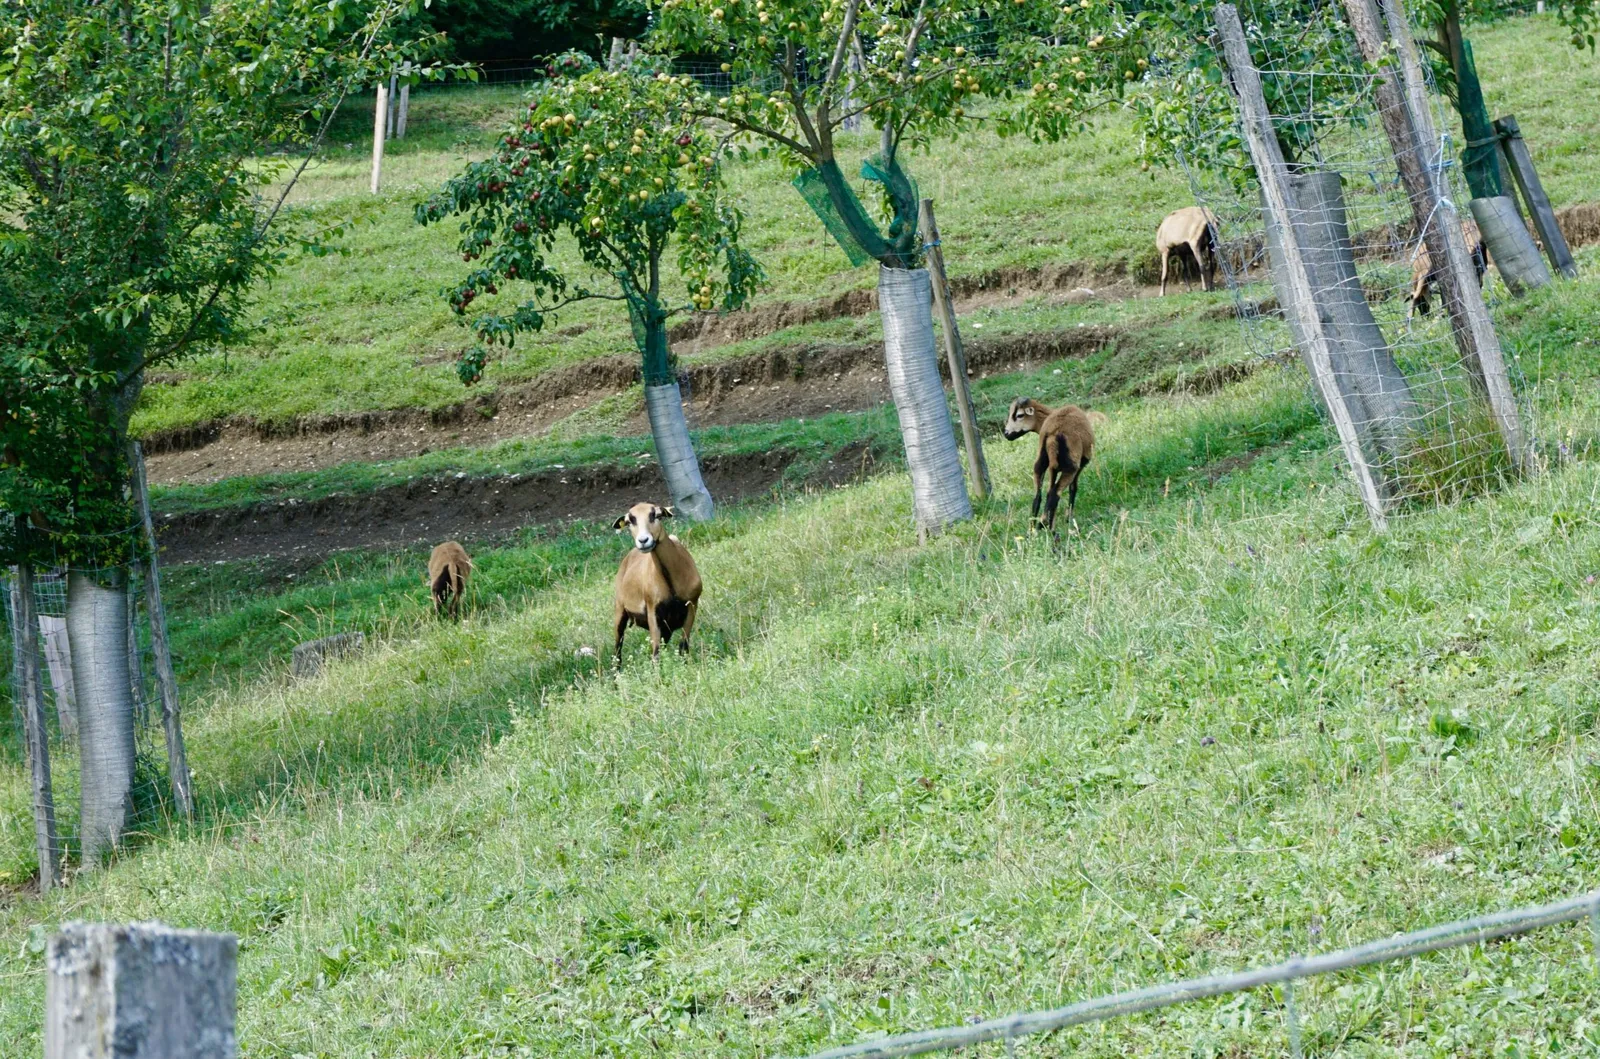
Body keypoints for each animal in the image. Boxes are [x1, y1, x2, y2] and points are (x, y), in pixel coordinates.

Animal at [612, 502, 703, 663]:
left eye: (656, 515)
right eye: (630, 521)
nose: (643, 541)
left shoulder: (692, 605)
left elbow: (683, 647)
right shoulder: (653, 611)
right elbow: (656, 654)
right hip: (619, 610)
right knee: (618, 649)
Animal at [1002, 397, 1095, 531]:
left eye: (1019, 415)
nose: (1006, 433)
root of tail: (1052, 433)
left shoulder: (1052, 468)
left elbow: (1048, 491)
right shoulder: (1080, 466)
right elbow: (1073, 488)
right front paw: (1068, 518)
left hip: (1040, 462)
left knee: (1038, 495)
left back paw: (1033, 529)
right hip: (1070, 467)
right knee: (1055, 494)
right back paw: (1050, 528)